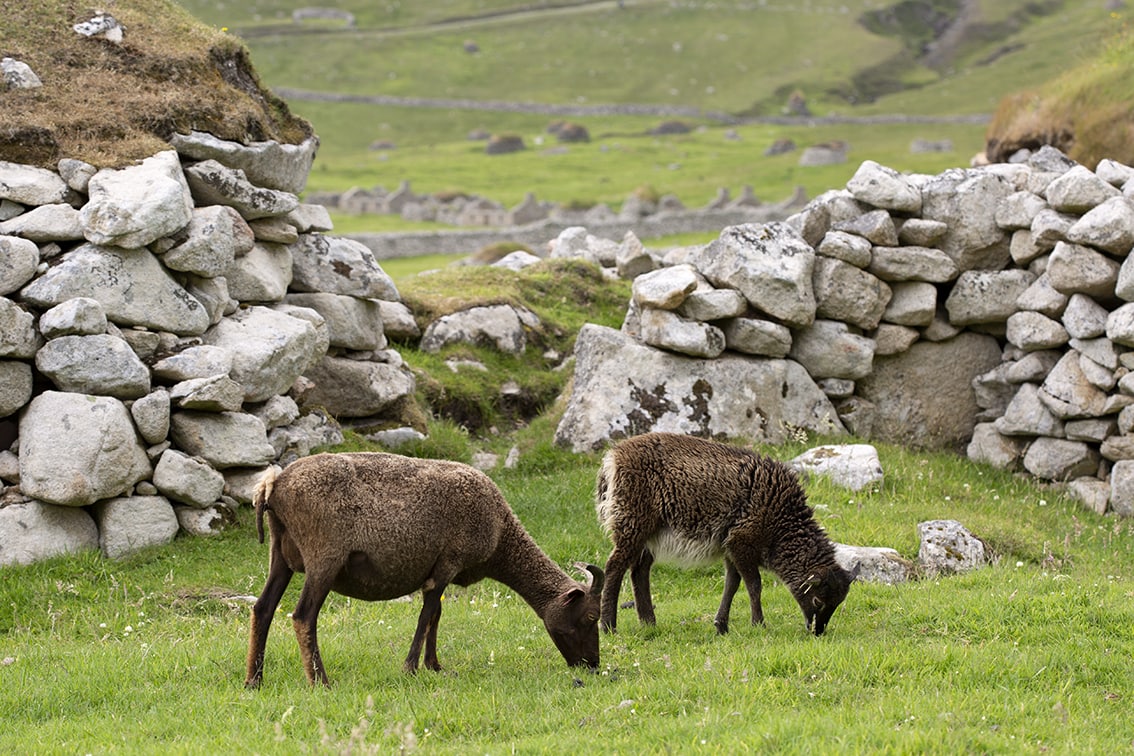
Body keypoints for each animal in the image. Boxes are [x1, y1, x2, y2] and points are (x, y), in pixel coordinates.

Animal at [244, 453, 607, 689]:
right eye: (591, 617)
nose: (592, 665)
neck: (501, 536)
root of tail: (273, 485)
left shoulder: (439, 568)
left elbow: (436, 614)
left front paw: (435, 665)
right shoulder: (449, 561)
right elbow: (428, 614)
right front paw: (411, 668)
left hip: (281, 554)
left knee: (263, 609)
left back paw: (253, 681)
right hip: (324, 556)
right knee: (303, 616)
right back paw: (320, 681)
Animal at [594, 435, 852, 634]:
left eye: (836, 603)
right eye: (818, 600)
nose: (817, 631)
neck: (782, 524)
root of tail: (612, 458)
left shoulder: (730, 546)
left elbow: (732, 584)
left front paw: (721, 626)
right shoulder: (742, 542)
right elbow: (754, 585)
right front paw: (758, 624)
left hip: (649, 533)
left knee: (639, 570)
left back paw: (649, 623)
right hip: (632, 522)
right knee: (615, 566)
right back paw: (608, 626)